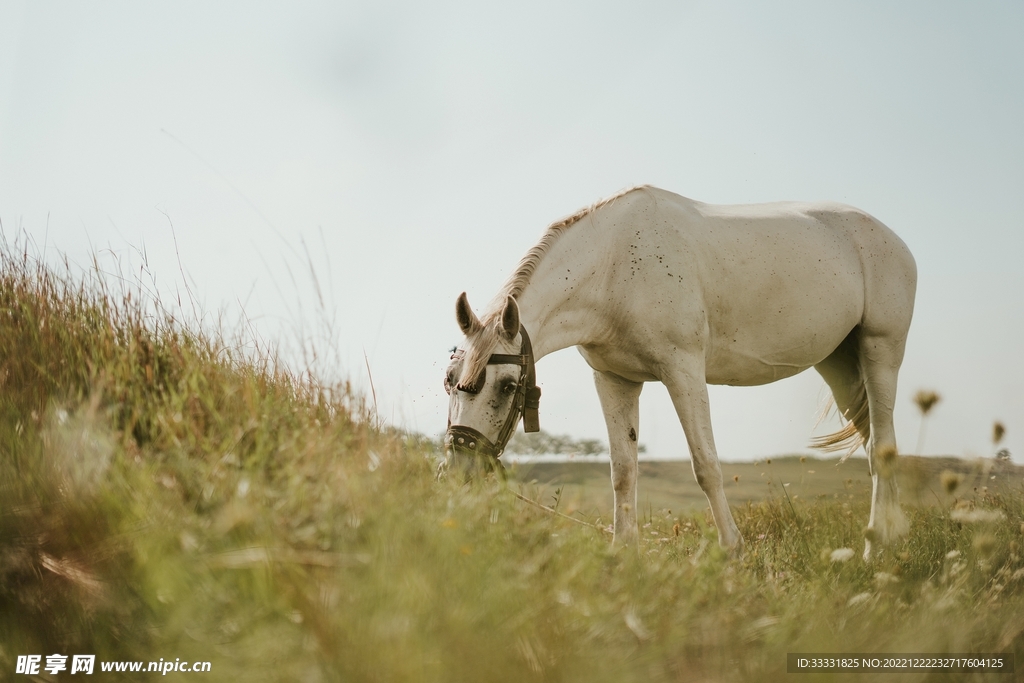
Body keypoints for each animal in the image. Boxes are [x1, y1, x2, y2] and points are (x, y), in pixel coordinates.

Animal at [443, 185, 916, 559]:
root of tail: (894, 240)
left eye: (507, 386)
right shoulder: (614, 380)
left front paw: (733, 550)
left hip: (880, 351)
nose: (461, 473)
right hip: (837, 364)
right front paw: (624, 552)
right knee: (874, 443)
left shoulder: (683, 370)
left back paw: (876, 550)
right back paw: (891, 540)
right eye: (450, 382)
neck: (615, 268)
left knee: (882, 448)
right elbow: (623, 471)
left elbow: (706, 465)